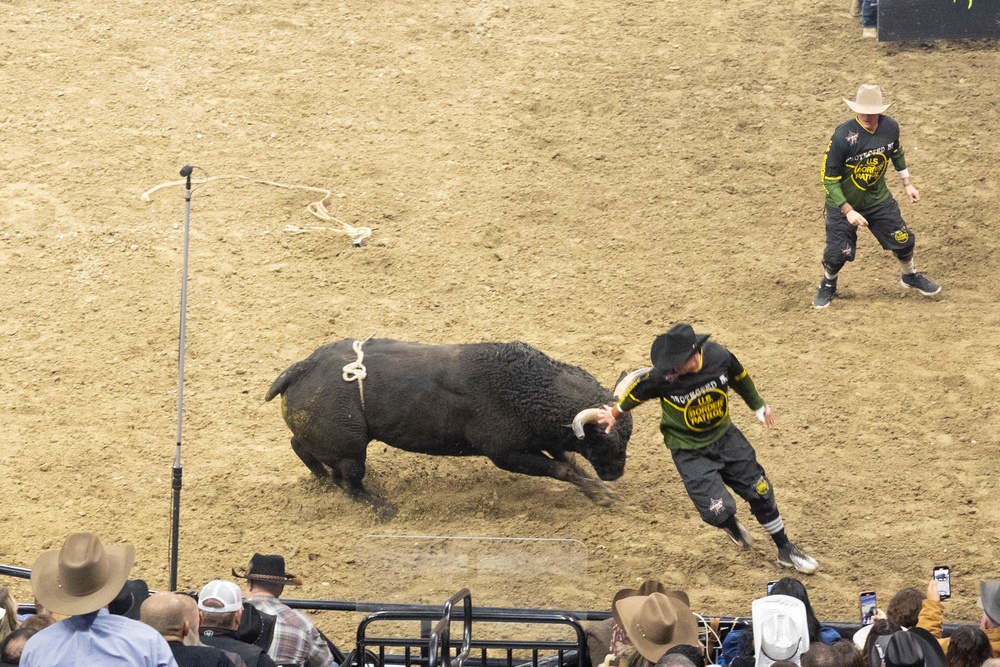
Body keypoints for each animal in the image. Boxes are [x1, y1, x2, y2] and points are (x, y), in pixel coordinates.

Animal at [266, 336, 632, 516]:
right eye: (605, 440)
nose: (616, 474)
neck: (529, 387)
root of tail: (301, 368)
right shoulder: (506, 454)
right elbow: (562, 469)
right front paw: (603, 494)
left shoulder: (544, 440)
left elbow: (571, 465)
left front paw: (602, 493)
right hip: (351, 450)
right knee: (350, 482)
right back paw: (382, 507)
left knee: (303, 448)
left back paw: (321, 478)